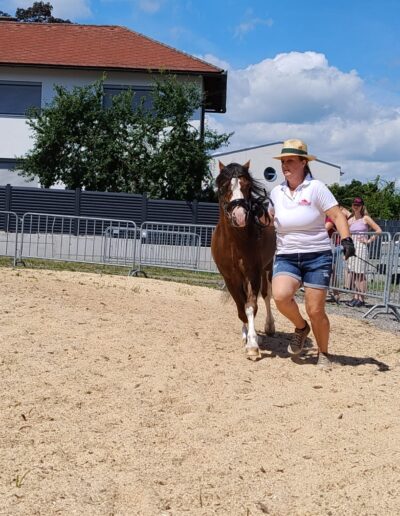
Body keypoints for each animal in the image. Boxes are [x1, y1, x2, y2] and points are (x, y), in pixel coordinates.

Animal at [212, 160, 276, 358]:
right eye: (224, 187)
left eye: (247, 186)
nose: (239, 216)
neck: (235, 242)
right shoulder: (230, 278)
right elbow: (240, 308)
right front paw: (247, 335)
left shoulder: (253, 274)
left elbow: (251, 306)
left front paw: (253, 345)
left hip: (268, 268)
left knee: (267, 295)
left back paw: (269, 327)